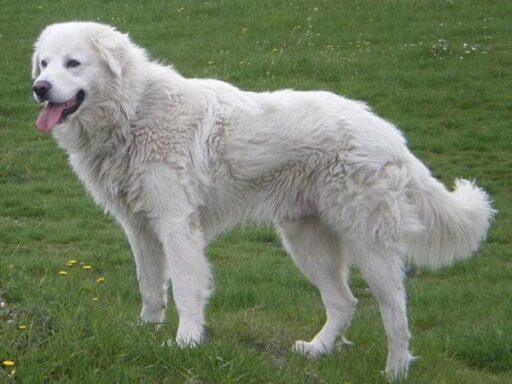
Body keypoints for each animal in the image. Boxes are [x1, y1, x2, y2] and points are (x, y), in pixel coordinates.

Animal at [32, 22, 496, 380]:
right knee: (344, 302)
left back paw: (395, 370)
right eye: (44, 63)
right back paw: (316, 350)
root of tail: (389, 133)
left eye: (73, 63)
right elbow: (149, 284)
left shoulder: (178, 225)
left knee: (395, 312)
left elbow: (184, 288)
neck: (134, 110)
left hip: (370, 247)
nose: (39, 88)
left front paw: (186, 342)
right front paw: (146, 329)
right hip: (306, 243)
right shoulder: (140, 227)